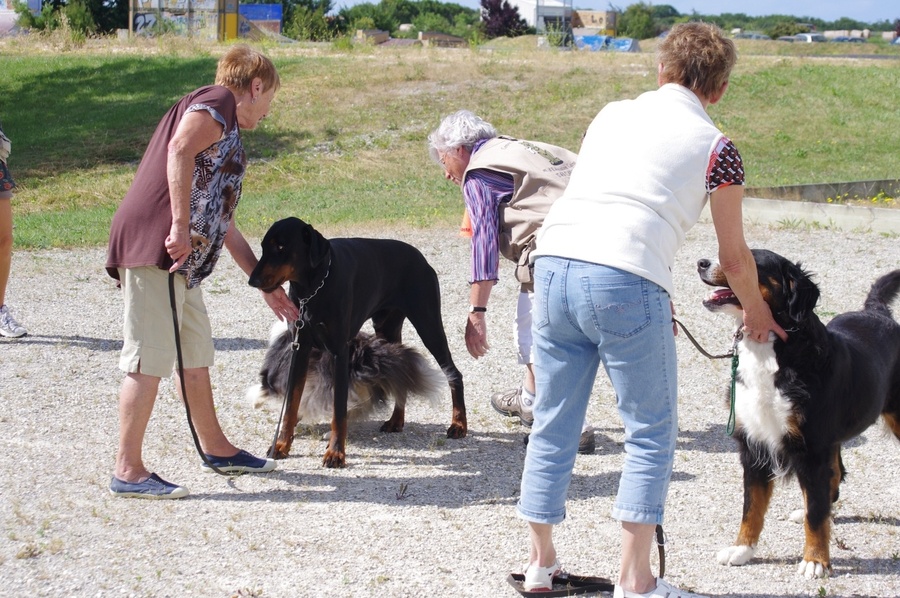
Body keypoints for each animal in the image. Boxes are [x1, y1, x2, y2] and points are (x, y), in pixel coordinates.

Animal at [248, 216, 468, 468]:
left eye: (281, 247)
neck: (313, 288)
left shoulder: (339, 351)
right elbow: (291, 404)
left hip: (428, 323)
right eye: (263, 247)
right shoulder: (300, 349)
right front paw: (282, 445)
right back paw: (396, 421)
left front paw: (335, 453)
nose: (252, 280)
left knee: (453, 373)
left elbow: (339, 410)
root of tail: (421, 257)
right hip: (386, 331)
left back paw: (459, 424)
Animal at [700, 246, 900, 580]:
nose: (702, 263)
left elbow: (815, 515)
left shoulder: (812, 448)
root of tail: (877, 312)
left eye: (751, 261)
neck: (771, 349)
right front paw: (742, 549)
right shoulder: (754, 444)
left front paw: (815, 561)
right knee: (835, 475)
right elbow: (751, 507)